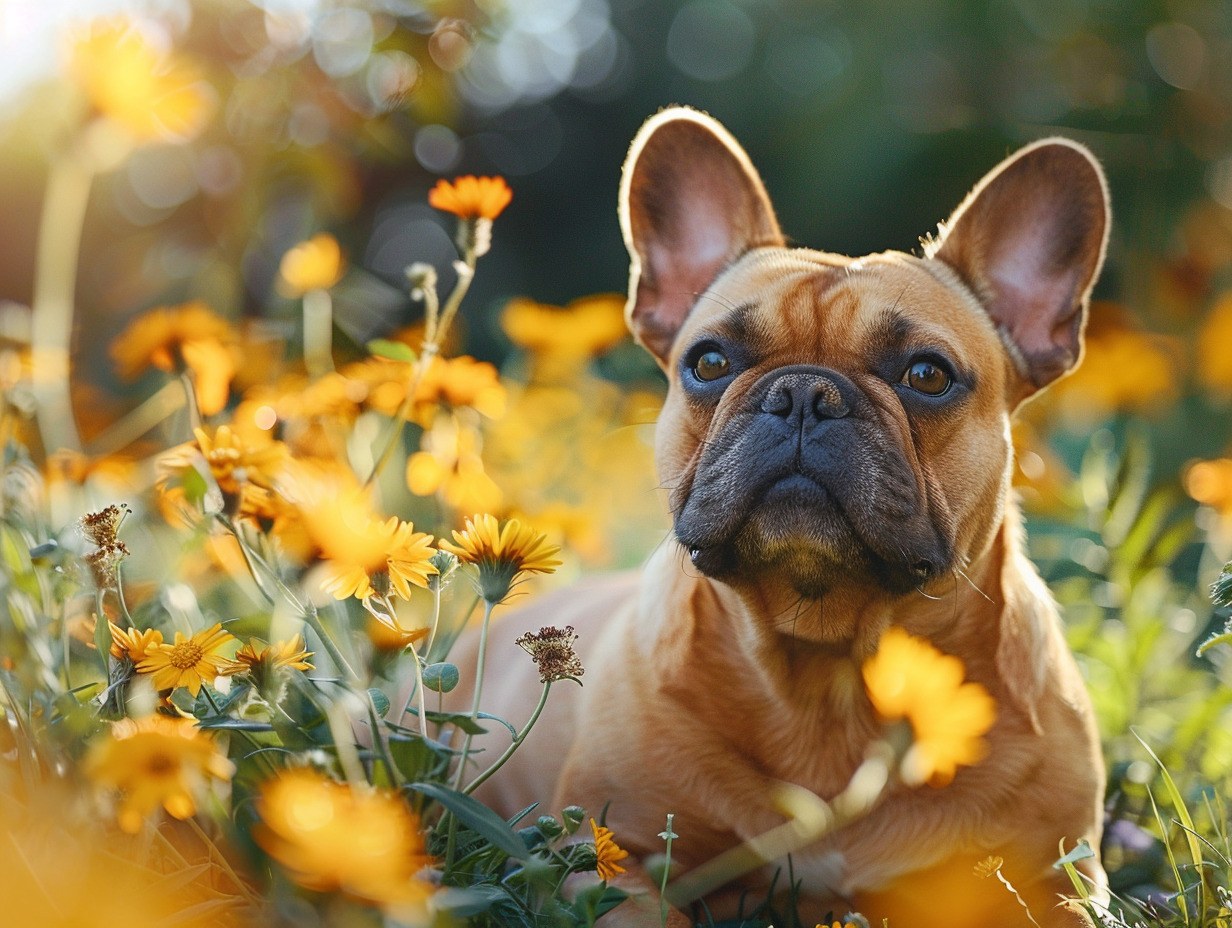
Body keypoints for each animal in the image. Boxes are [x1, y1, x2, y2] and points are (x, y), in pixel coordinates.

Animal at [450, 110, 1108, 926]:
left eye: (927, 375)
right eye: (708, 362)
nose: (804, 394)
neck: (826, 674)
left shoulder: (1059, 882)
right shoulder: (605, 860)